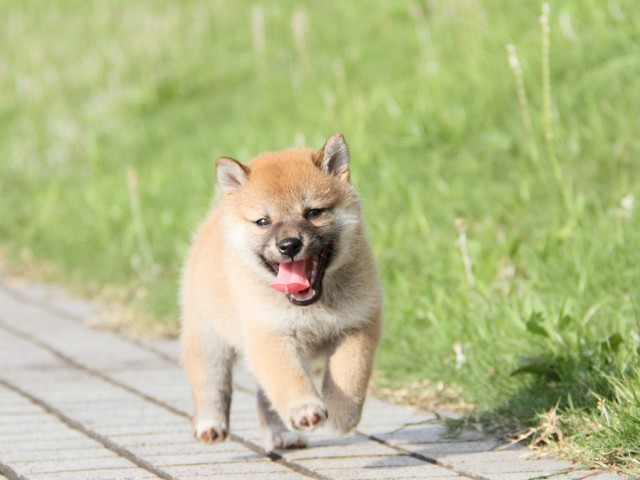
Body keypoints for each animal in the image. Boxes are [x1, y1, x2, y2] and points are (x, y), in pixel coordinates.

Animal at [179, 134, 380, 450]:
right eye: (264, 221)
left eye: (313, 212)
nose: (289, 245)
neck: (312, 307)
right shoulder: (269, 335)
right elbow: (287, 379)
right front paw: (305, 409)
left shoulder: (358, 325)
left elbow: (350, 373)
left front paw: (342, 415)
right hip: (207, 337)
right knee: (210, 383)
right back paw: (210, 425)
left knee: (265, 396)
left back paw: (282, 434)